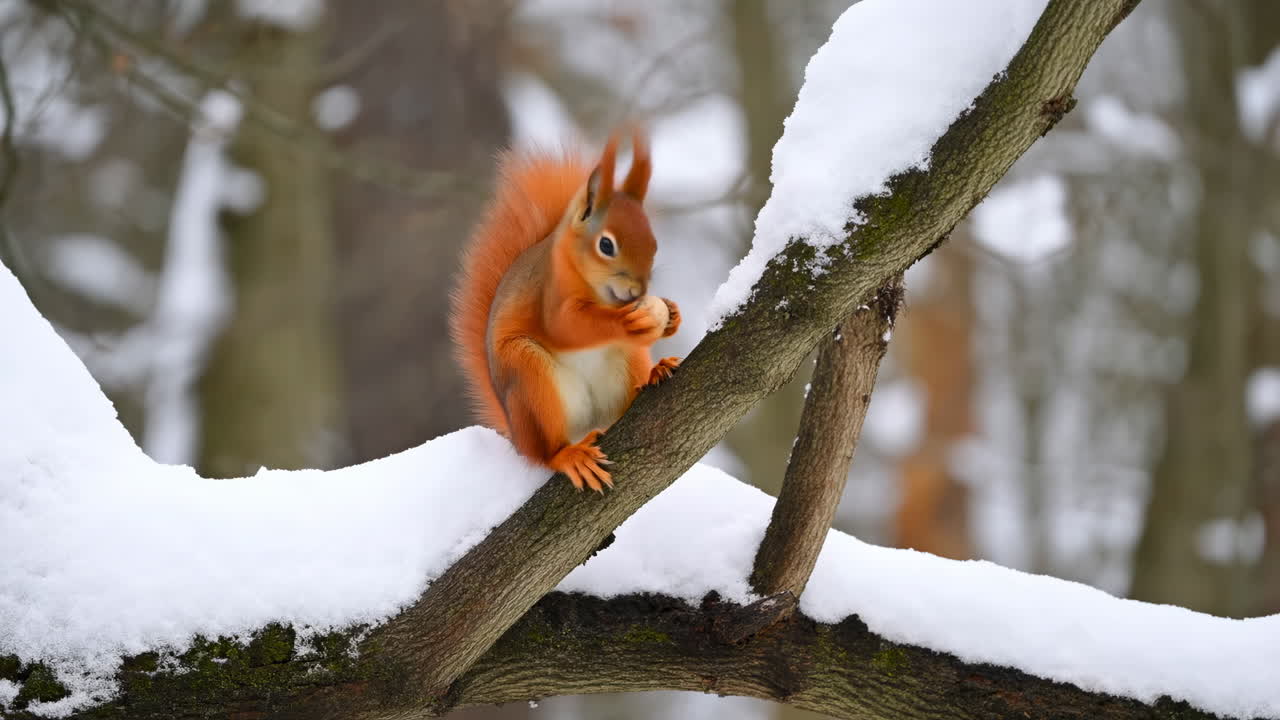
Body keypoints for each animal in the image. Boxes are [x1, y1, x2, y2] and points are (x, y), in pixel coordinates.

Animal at [450, 131, 681, 492]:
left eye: (654, 245)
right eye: (606, 245)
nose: (638, 293)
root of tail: (518, 437)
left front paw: (670, 313)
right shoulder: (548, 296)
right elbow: (566, 327)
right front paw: (626, 320)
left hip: (627, 362)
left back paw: (656, 371)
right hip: (529, 376)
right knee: (546, 452)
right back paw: (568, 457)